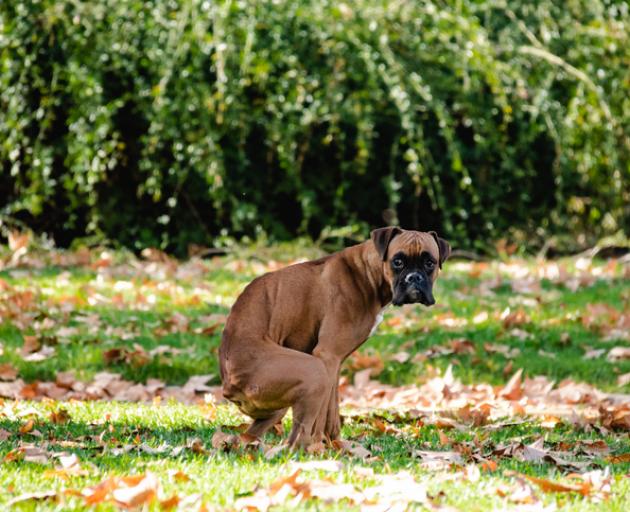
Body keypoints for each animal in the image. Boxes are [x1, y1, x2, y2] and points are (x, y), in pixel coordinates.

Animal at [220, 228, 452, 448]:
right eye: (398, 261)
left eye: (429, 263)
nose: (414, 277)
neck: (368, 273)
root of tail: (228, 385)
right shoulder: (327, 356)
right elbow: (322, 416)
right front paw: (320, 446)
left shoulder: (335, 363)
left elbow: (332, 410)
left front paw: (336, 444)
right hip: (313, 372)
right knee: (296, 438)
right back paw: (308, 450)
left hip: (278, 406)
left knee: (249, 436)